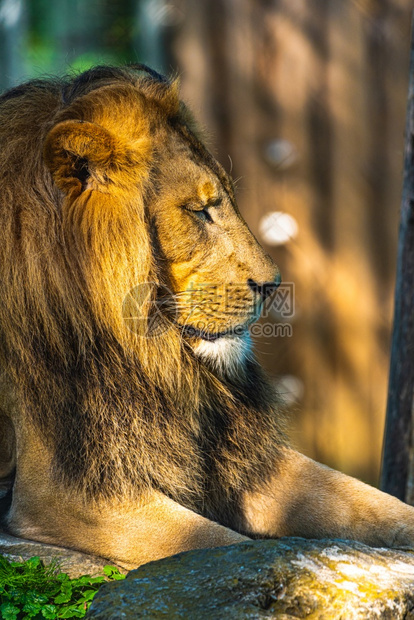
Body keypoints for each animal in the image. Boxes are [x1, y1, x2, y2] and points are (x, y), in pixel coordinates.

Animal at [0, 65, 412, 568]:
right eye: (199, 212)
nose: (273, 284)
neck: (147, 359)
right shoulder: (67, 491)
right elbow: (220, 546)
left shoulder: (243, 456)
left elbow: (374, 504)